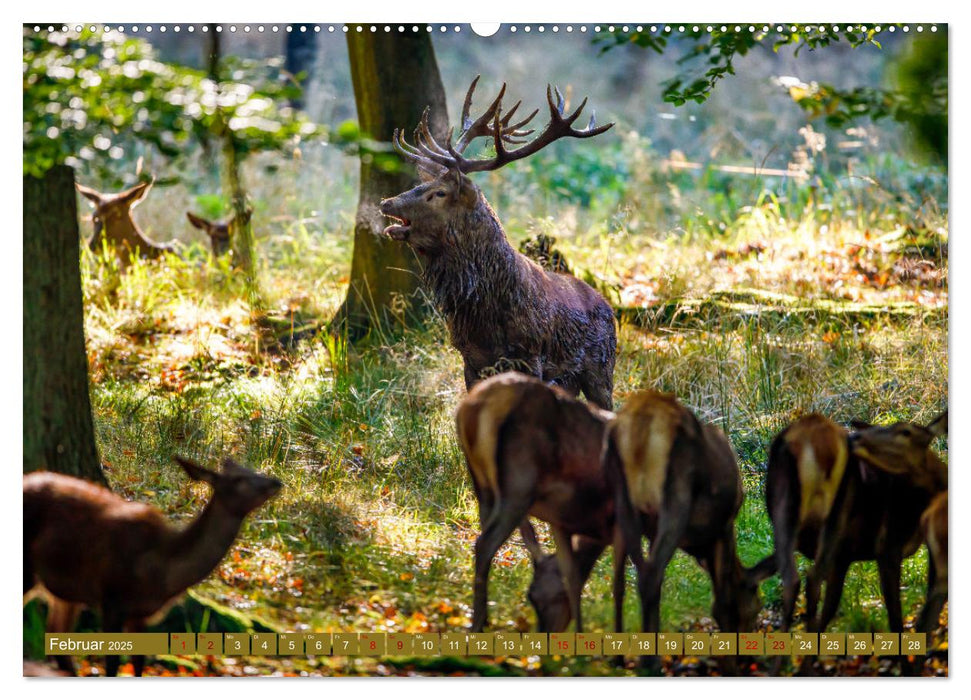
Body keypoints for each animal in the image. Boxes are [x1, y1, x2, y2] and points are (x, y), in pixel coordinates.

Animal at [22, 456, 280, 676]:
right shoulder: (112, 600)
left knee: (57, 642)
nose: (276, 482)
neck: (160, 572)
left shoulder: (140, 616)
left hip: (65, 590)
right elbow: (112, 666)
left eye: (251, 469)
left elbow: (138, 664)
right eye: (238, 479)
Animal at [380, 78, 616, 410]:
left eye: (438, 193)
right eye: (422, 183)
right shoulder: (470, 359)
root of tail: (608, 306)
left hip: (601, 368)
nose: (386, 202)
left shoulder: (531, 355)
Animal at [454, 372, 624, 636]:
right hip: (518, 486)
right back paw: (479, 623)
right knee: (484, 544)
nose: (547, 631)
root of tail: (473, 407)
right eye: (533, 598)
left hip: (483, 486)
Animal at [608, 392, 760, 664]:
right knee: (651, 574)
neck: (701, 549)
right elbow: (721, 602)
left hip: (622, 502)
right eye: (756, 602)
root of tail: (642, 423)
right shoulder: (724, 528)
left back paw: (619, 658)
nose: (748, 656)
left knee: (621, 583)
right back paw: (650, 662)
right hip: (675, 494)